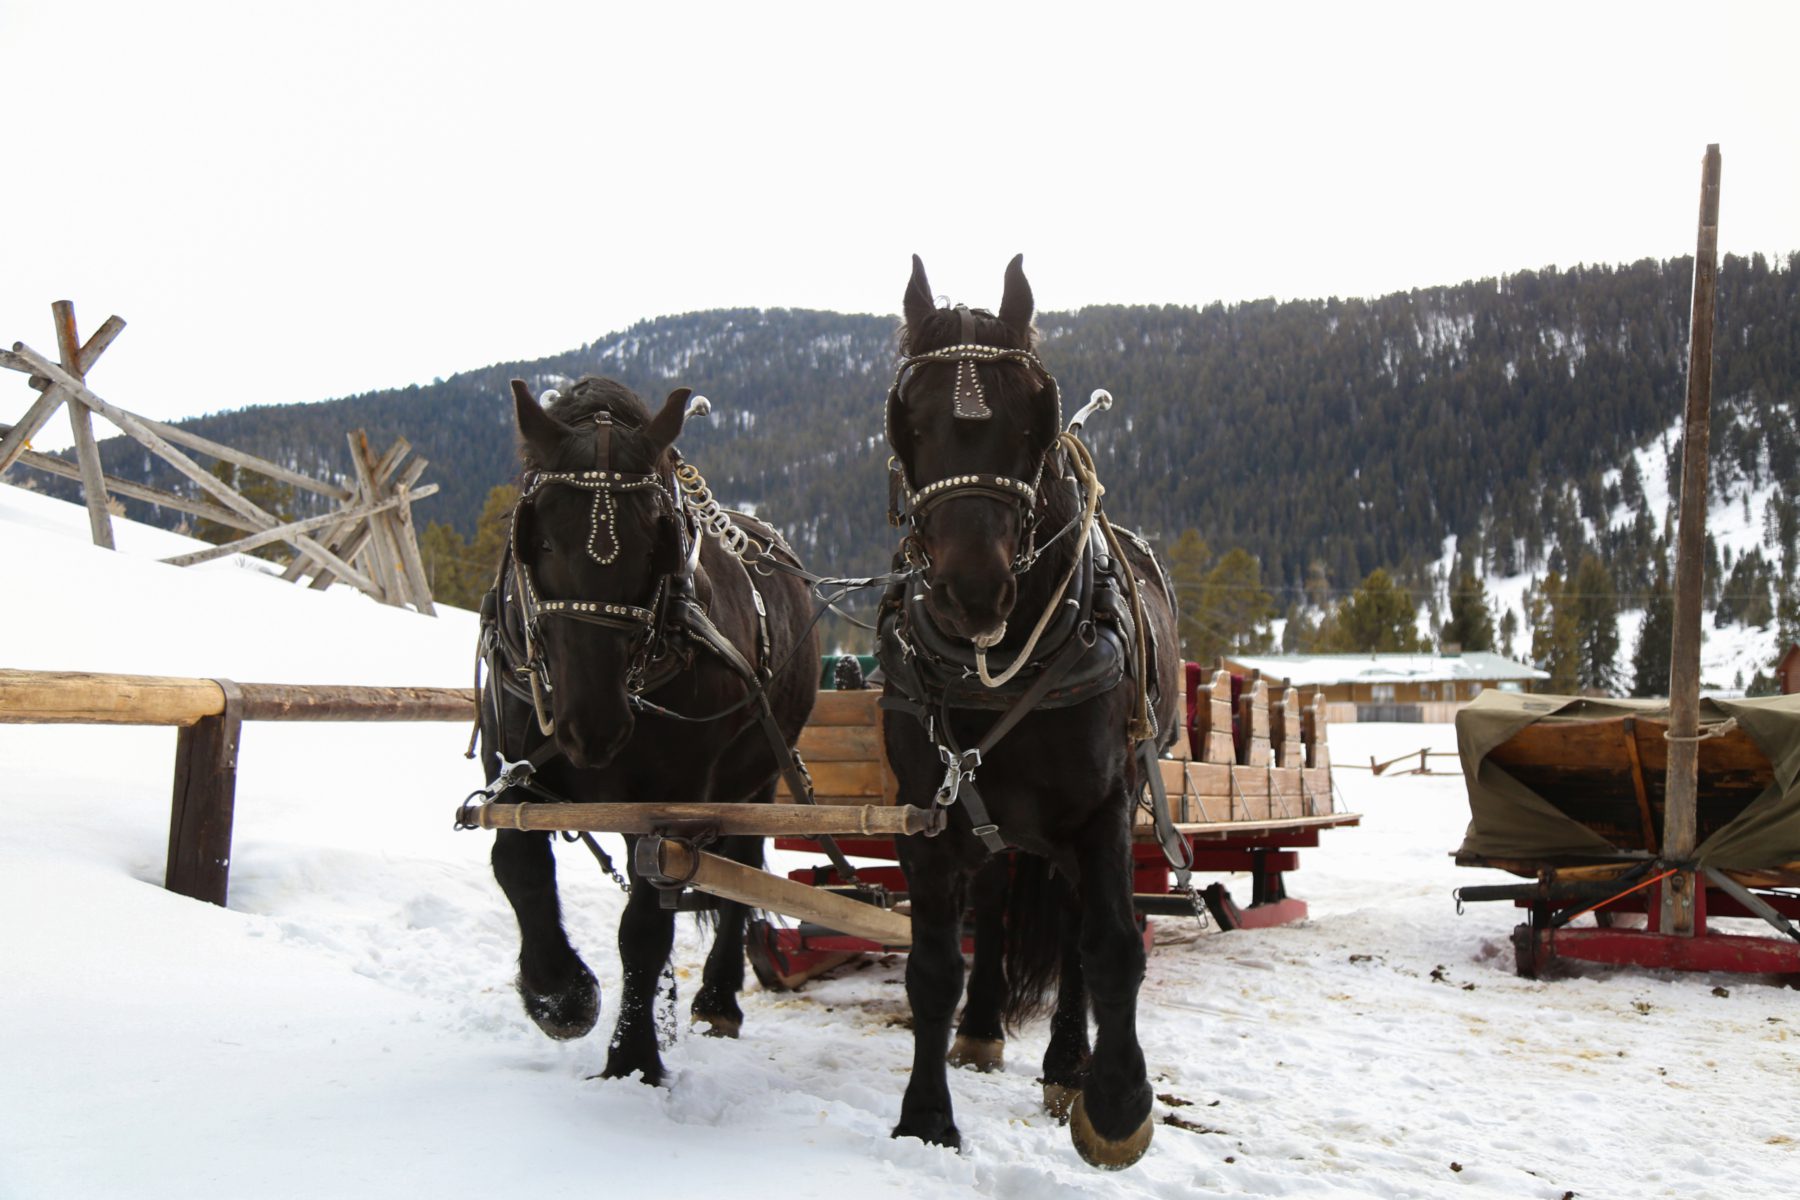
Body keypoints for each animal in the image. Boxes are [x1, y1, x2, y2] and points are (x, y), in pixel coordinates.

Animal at [475, 375, 819, 1084]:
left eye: (655, 548)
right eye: (538, 540)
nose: (593, 726)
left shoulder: (675, 802)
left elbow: (645, 927)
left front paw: (631, 1060)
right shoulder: (515, 772)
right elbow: (517, 864)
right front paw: (561, 996)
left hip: (760, 776)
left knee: (741, 872)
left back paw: (716, 1000)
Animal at [877, 255, 1181, 1168]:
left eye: (1032, 421)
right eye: (908, 421)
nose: (972, 590)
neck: (995, 671)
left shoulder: (1103, 808)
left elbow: (1111, 947)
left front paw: (1116, 1104)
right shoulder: (929, 812)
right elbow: (934, 964)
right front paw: (926, 1117)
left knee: (1079, 930)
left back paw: (1068, 1065)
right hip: (998, 823)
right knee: (996, 905)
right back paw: (980, 1030)